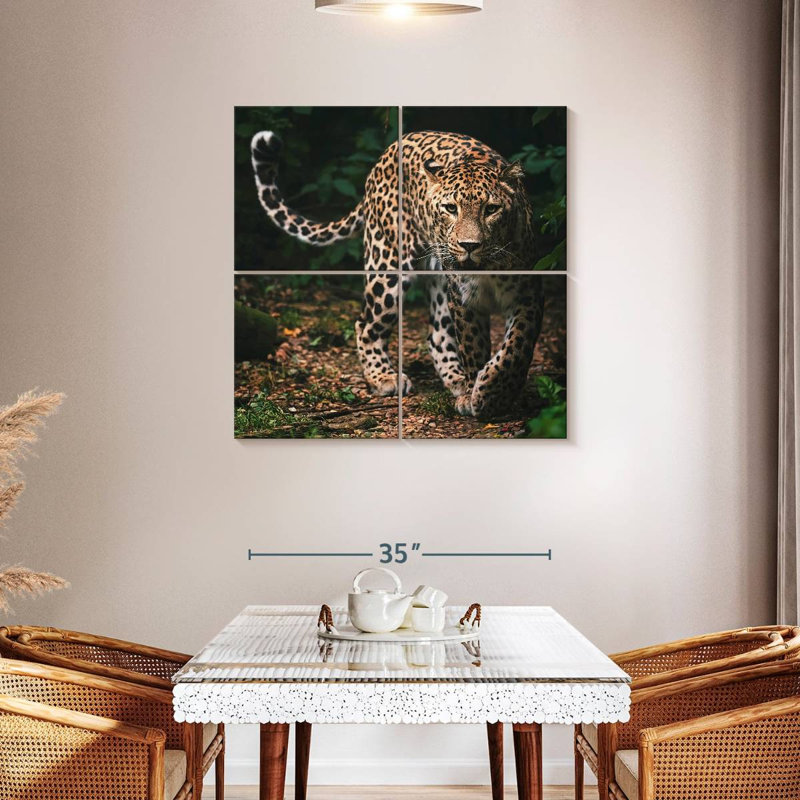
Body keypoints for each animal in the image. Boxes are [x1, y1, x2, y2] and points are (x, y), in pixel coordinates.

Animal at [250, 129, 544, 418]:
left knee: (437, 335)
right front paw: (481, 394)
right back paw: (385, 378)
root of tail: (388, 151)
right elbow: (473, 347)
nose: (469, 246)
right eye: (451, 208)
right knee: (365, 324)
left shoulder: (527, 294)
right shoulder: (464, 300)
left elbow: (516, 348)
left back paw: (457, 381)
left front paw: (493, 392)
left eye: (491, 209)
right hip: (387, 266)